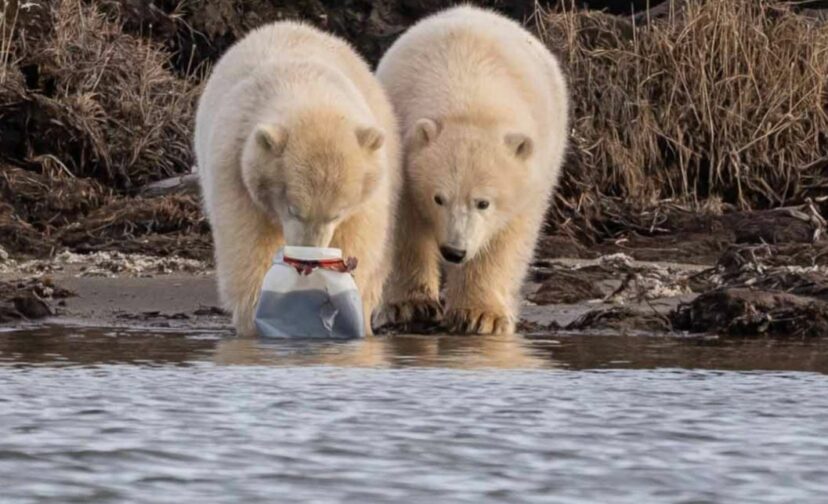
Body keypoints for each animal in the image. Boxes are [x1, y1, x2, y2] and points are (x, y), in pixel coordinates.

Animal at [194, 21, 402, 336]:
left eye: (336, 214)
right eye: (293, 209)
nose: (309, 258)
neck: (305, 87)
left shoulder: (370, 185)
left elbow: (360, 240)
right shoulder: (234, 165)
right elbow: (247, 244)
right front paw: (254, 321)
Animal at [376, 5, 568, 334]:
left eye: (483, 203)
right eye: (438, 198)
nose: (454, 251)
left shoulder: (530, 177)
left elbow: (504, 240)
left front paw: (481, 316)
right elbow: (404, 228)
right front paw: (410, 305)